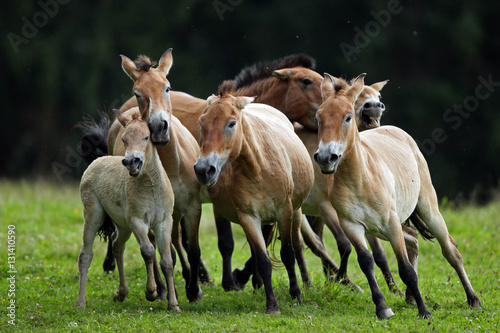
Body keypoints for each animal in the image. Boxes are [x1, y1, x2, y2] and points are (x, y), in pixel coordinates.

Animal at [76, 108, 180, 312]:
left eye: (146, 137)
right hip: (93, 215)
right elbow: (148, 251)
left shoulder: (164, 222)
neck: (152, 188)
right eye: (124, 139)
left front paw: (173, 304)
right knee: (86, 254)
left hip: (122, 225)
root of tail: (97, 161)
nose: (132, 161)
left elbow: (167, 261)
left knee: (117, 245)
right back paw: (80, 302)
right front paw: (151, 292)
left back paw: (121, 293)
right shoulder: (137, 221)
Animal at [194, 83, 312, 312]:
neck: (258, 167)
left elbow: (288, 254)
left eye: (231, 123)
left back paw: (305, 284)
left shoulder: (284, 212)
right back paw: (257, 284)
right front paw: (272, 304)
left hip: (296, 212)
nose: (204, 169)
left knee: (298, 245)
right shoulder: (248, 217)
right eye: (201, 122)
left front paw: (296, 294)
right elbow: (263, 258)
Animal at [314, 73, 482, 320]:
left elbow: (405, 269)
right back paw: (411, 296)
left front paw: (425, 312)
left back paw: (473, 299)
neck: (359, 179)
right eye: (319, 118)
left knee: (450, 250)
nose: (326, 157)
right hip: (381, 228)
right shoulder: (351, 225)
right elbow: (366, 262)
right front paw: (382, 307)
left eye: (347, 118)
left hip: (428, 209)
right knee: (413, 238)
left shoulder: (391, 223)